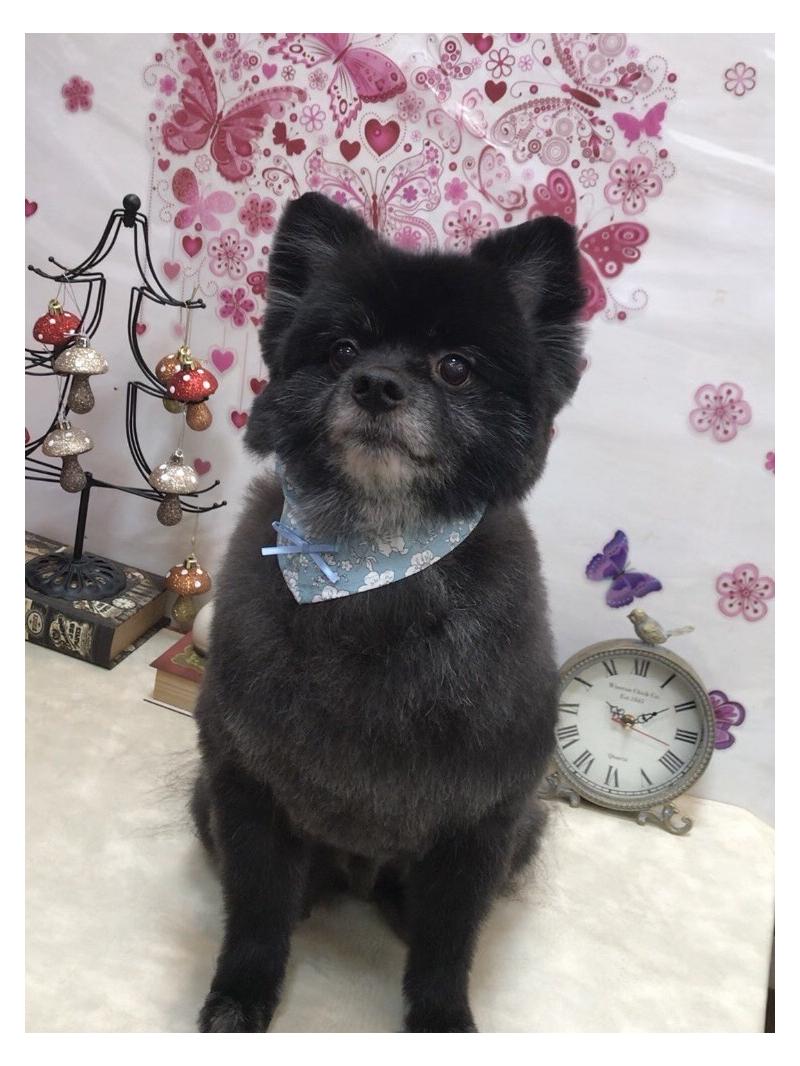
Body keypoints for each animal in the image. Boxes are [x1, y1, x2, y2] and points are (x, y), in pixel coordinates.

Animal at [191, 191, 585, 1032]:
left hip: (525, 834)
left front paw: (441, 1020)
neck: (373, 566)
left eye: (457, 367)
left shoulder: (483, 824)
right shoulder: (246, 788)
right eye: (342, 349)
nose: (376, 384)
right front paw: (241, 994)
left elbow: (447, 945)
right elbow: (257, 913)